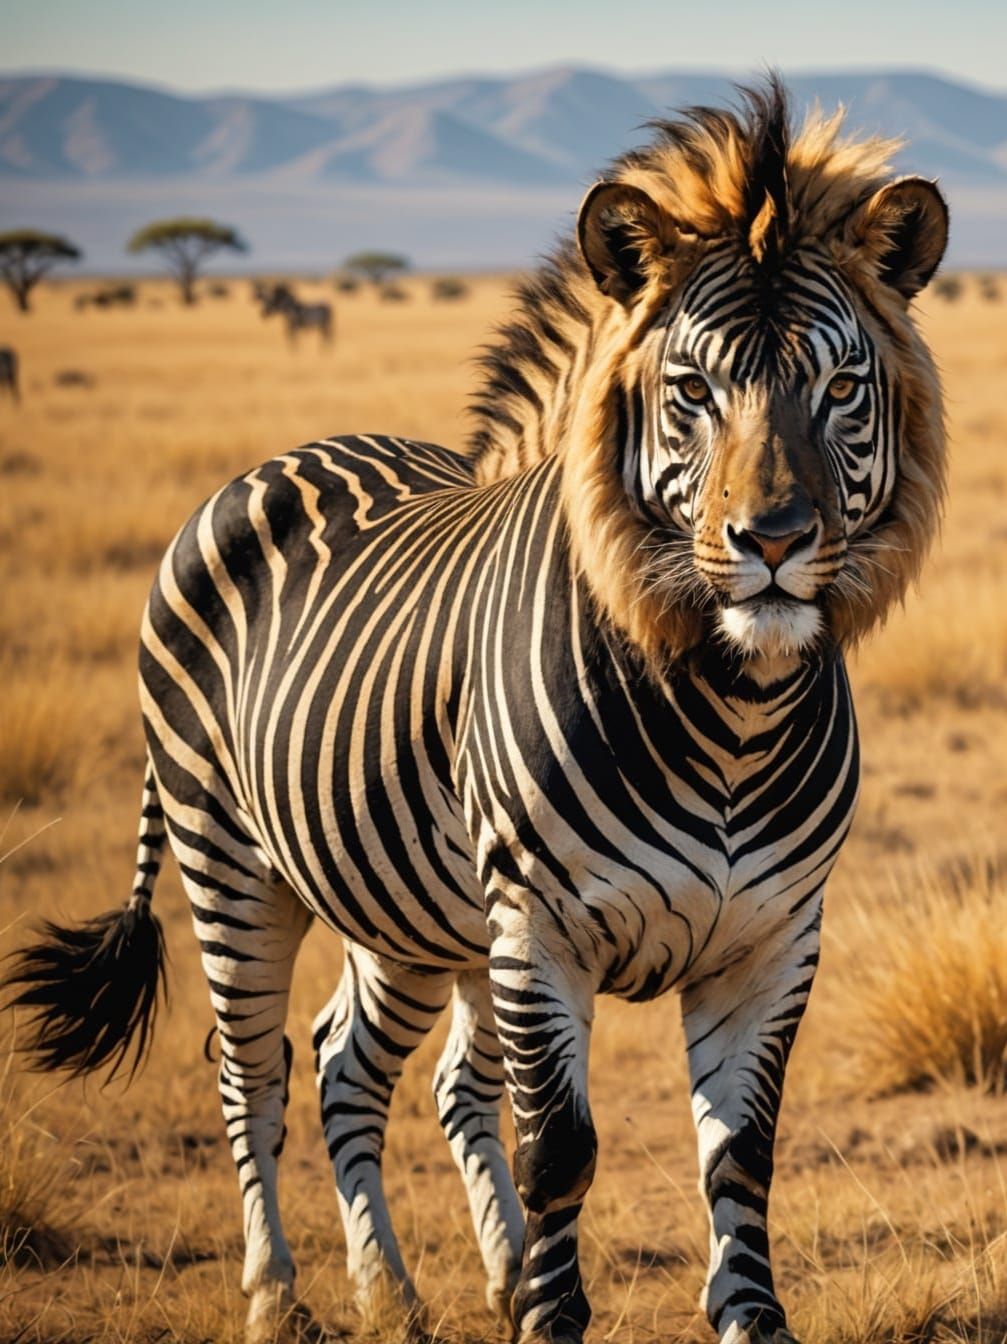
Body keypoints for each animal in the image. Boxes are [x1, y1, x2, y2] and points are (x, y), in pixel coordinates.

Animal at [5, 83, 948, 1344]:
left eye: (841, 389)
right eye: (689, 393)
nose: (773, 544)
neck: (730, 717)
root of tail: (285, 458)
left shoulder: (773, 939)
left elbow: (739, 1159)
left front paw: (744, 1321)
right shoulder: (539, 928)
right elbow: (557, 1149)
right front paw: (545, 1319)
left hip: (407, 909)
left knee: (358, 1065)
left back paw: (398, 1293)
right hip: (230, 862)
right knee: (253, 1074)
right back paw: (279, 1298)